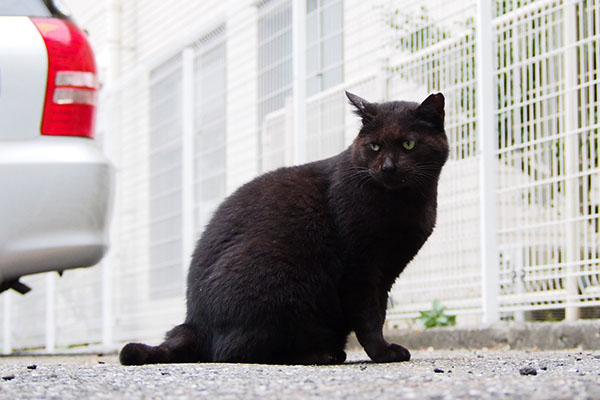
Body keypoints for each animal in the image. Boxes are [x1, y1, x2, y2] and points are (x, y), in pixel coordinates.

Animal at [119, 90, 448, 366]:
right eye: (374, 146)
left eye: (408, 144)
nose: (388, 167)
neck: (405, 203)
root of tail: (193, 323)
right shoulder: (361, 269)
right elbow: (370, 317)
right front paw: (383, 353)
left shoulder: (386, 272)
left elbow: (378, 312)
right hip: (281, 282)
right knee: (233, 353)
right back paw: (319, 355)